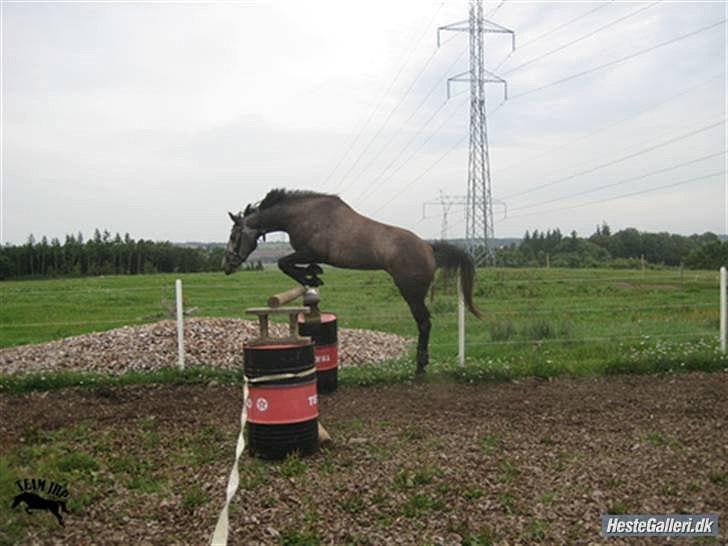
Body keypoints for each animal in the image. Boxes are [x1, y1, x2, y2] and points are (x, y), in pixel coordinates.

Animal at [225, 188, 480, 374]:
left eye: (234, 235)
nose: (227, 265)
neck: (300, 216)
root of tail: (428, 248)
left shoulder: (311, 252)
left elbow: (283, 263)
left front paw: (312, 275)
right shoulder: (309, 254)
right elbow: (291, 264)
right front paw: (314, 273)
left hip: (412, 293)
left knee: (424, 323)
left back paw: (420, 365)